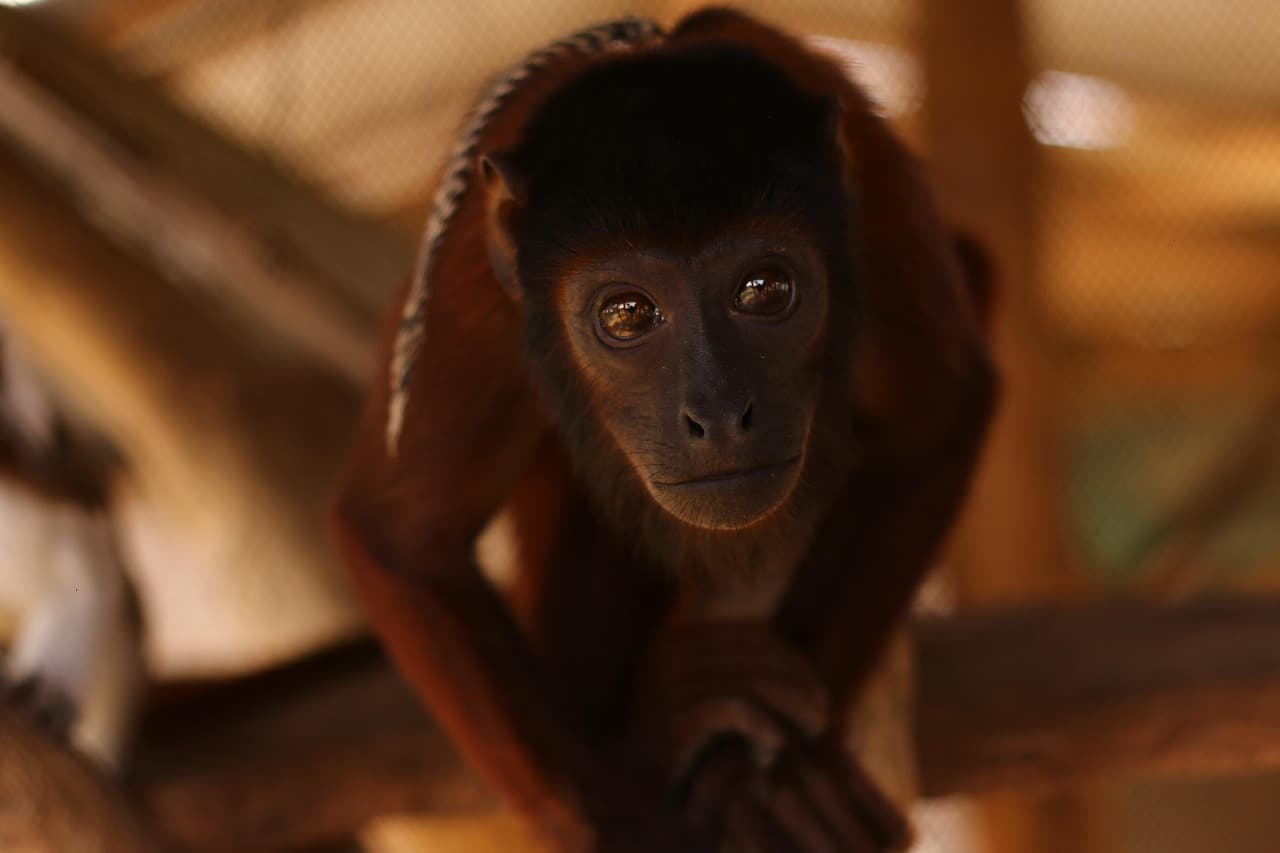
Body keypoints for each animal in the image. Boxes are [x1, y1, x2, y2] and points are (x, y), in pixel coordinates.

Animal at [333, 8, 995, 852]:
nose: (717, 413)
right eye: (626, 314)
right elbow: (400, 537)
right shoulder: (467, 272)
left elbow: (934, 415)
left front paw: (775, 779)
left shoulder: (871, 191)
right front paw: (627, 803)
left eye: (765, 290)